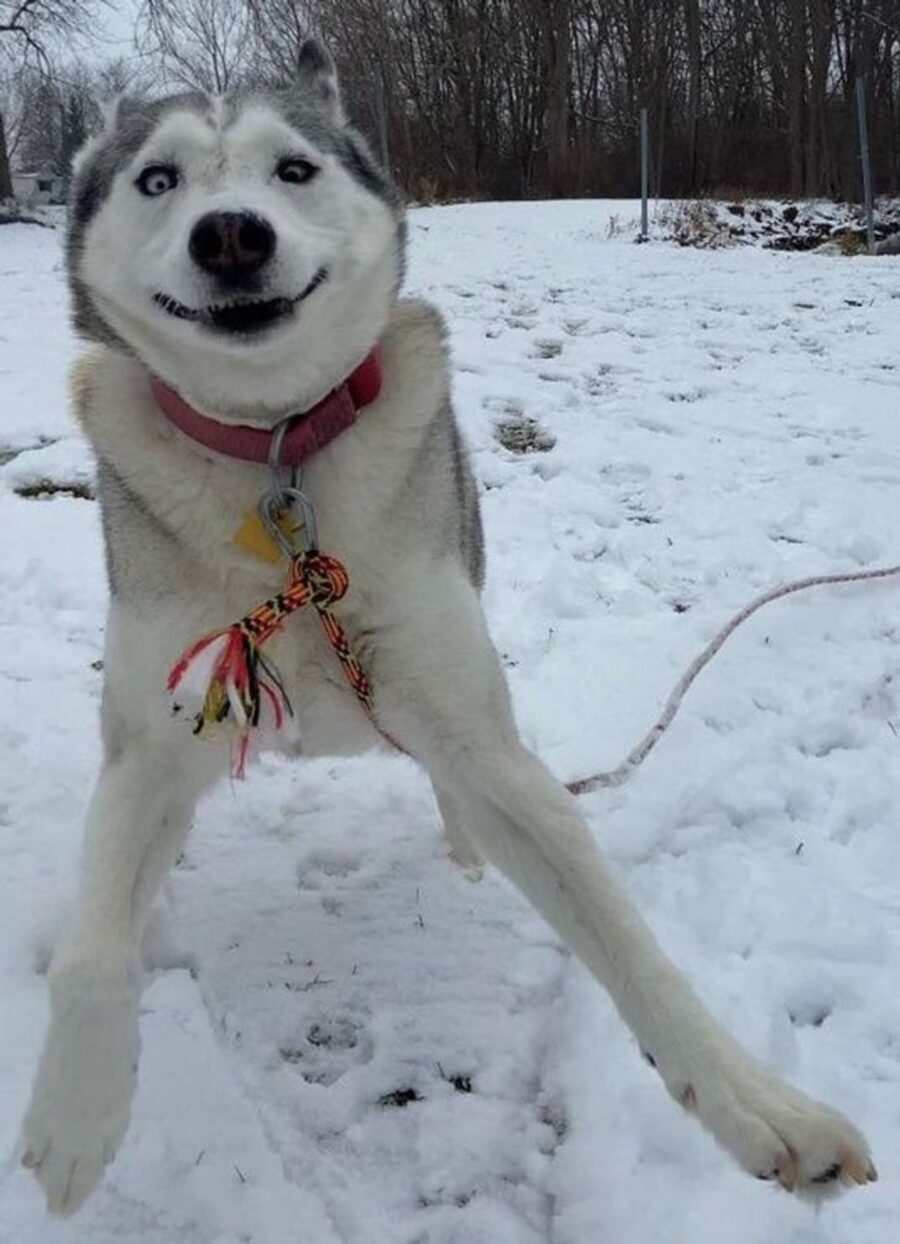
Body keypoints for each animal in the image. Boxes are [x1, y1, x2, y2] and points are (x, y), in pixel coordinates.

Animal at [22, 36, 881, 1214]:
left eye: (292, 170)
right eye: (159, 179)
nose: (232, 233)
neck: (276, 452)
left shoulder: (483, 739)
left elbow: (625, 937)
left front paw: (760, 1107)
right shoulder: (151, 740)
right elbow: (95, 946)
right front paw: (75, 1114)